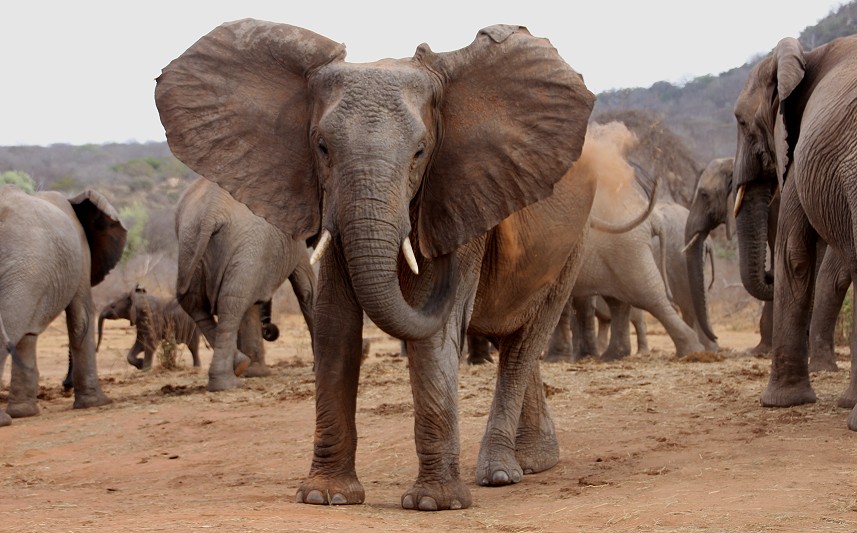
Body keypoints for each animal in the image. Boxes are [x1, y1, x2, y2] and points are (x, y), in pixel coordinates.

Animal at [0, 185, 125, 426]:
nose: (65, 385)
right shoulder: (82, 252)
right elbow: (81, 318)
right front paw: (97, 403)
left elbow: (28, 334)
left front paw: (23, 413)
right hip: (26, 262)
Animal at [176, 177, 316, 388]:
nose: (270, 329)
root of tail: (211, 213)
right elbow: (306, 288)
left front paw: (256, 373)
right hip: (246, 245)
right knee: (232, 303)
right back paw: (228, 380)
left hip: (189, 246)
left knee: (196, 304)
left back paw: (238, 366)